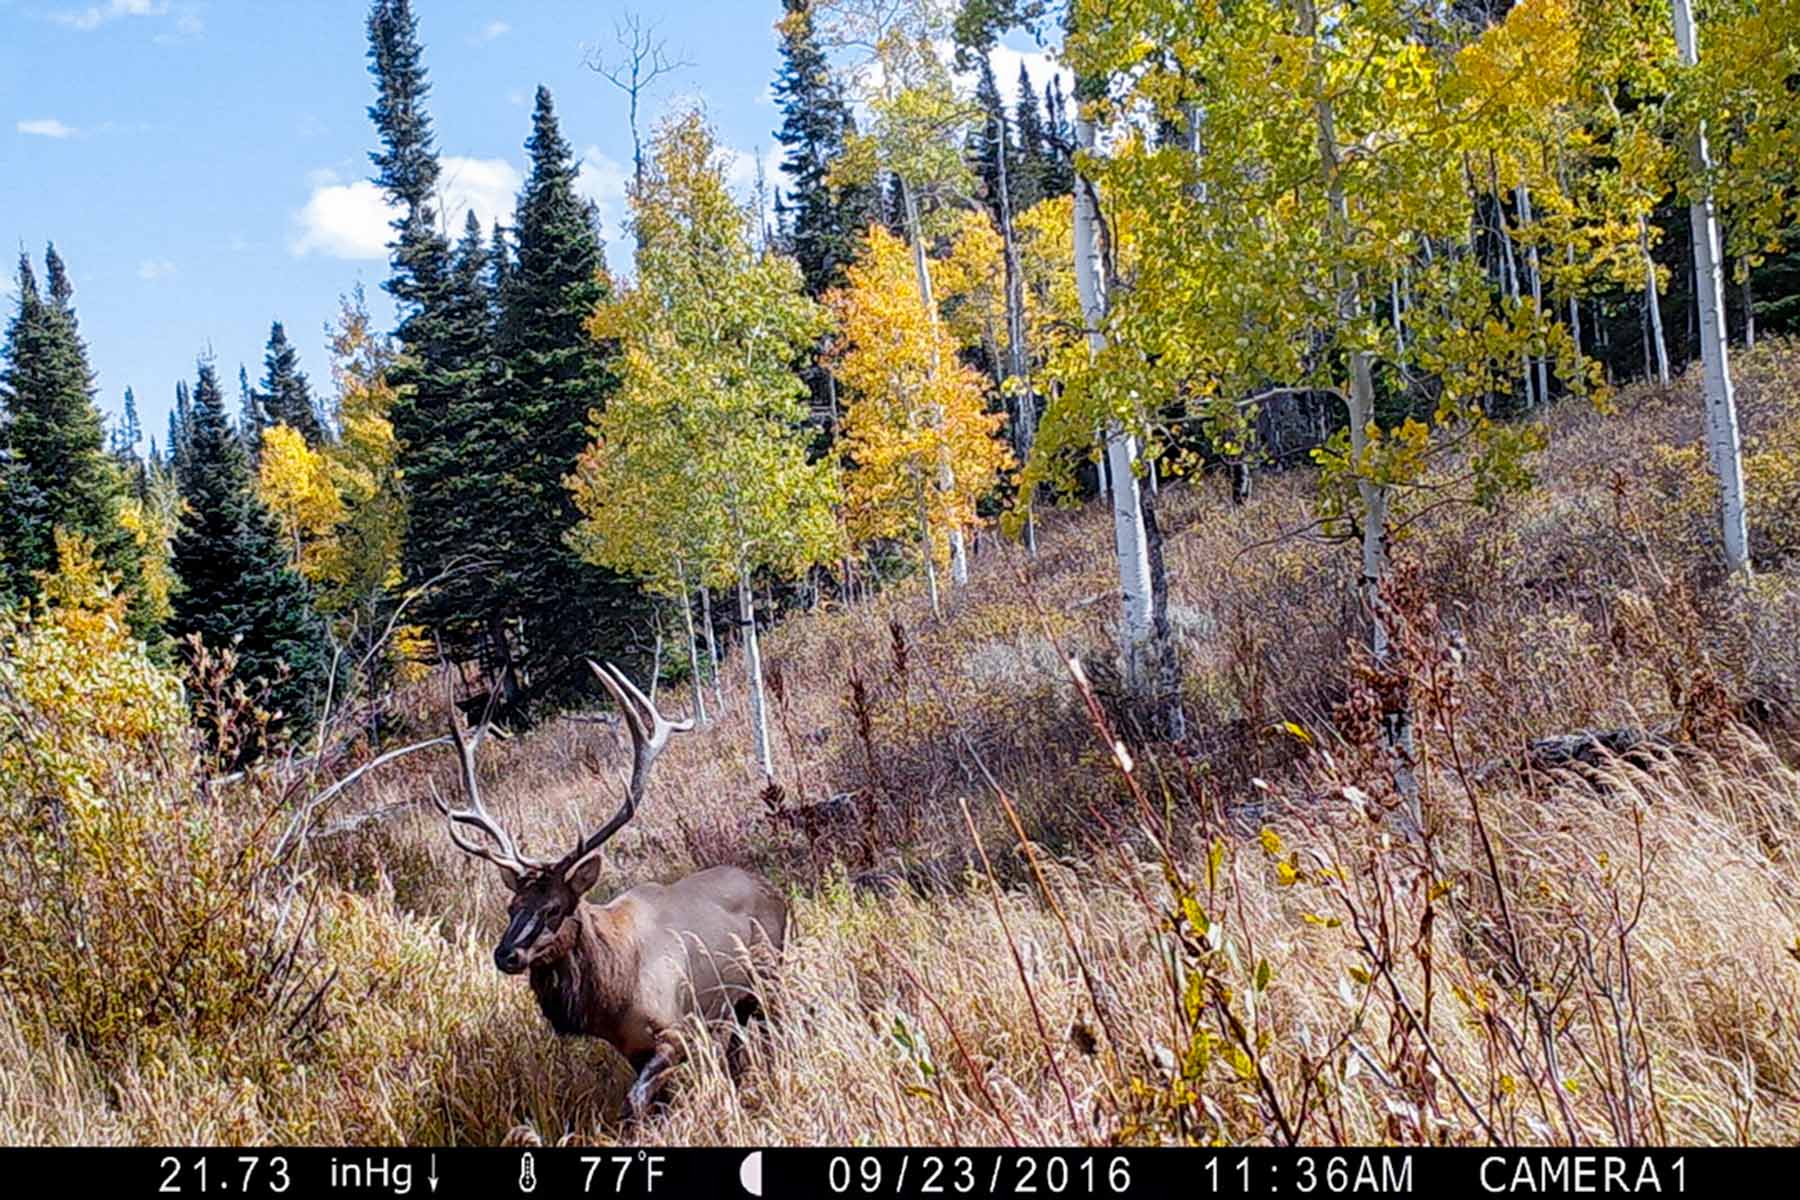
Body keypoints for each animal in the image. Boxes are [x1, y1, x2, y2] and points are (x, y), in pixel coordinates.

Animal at [431, 660, 787, 1124]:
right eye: (511, 906)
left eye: (555, 908)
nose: (506, 954)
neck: (613, 992)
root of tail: (774, 889)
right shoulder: (632, 1048)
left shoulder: (682, 1029)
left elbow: (635, 1103)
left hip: (771, 973)